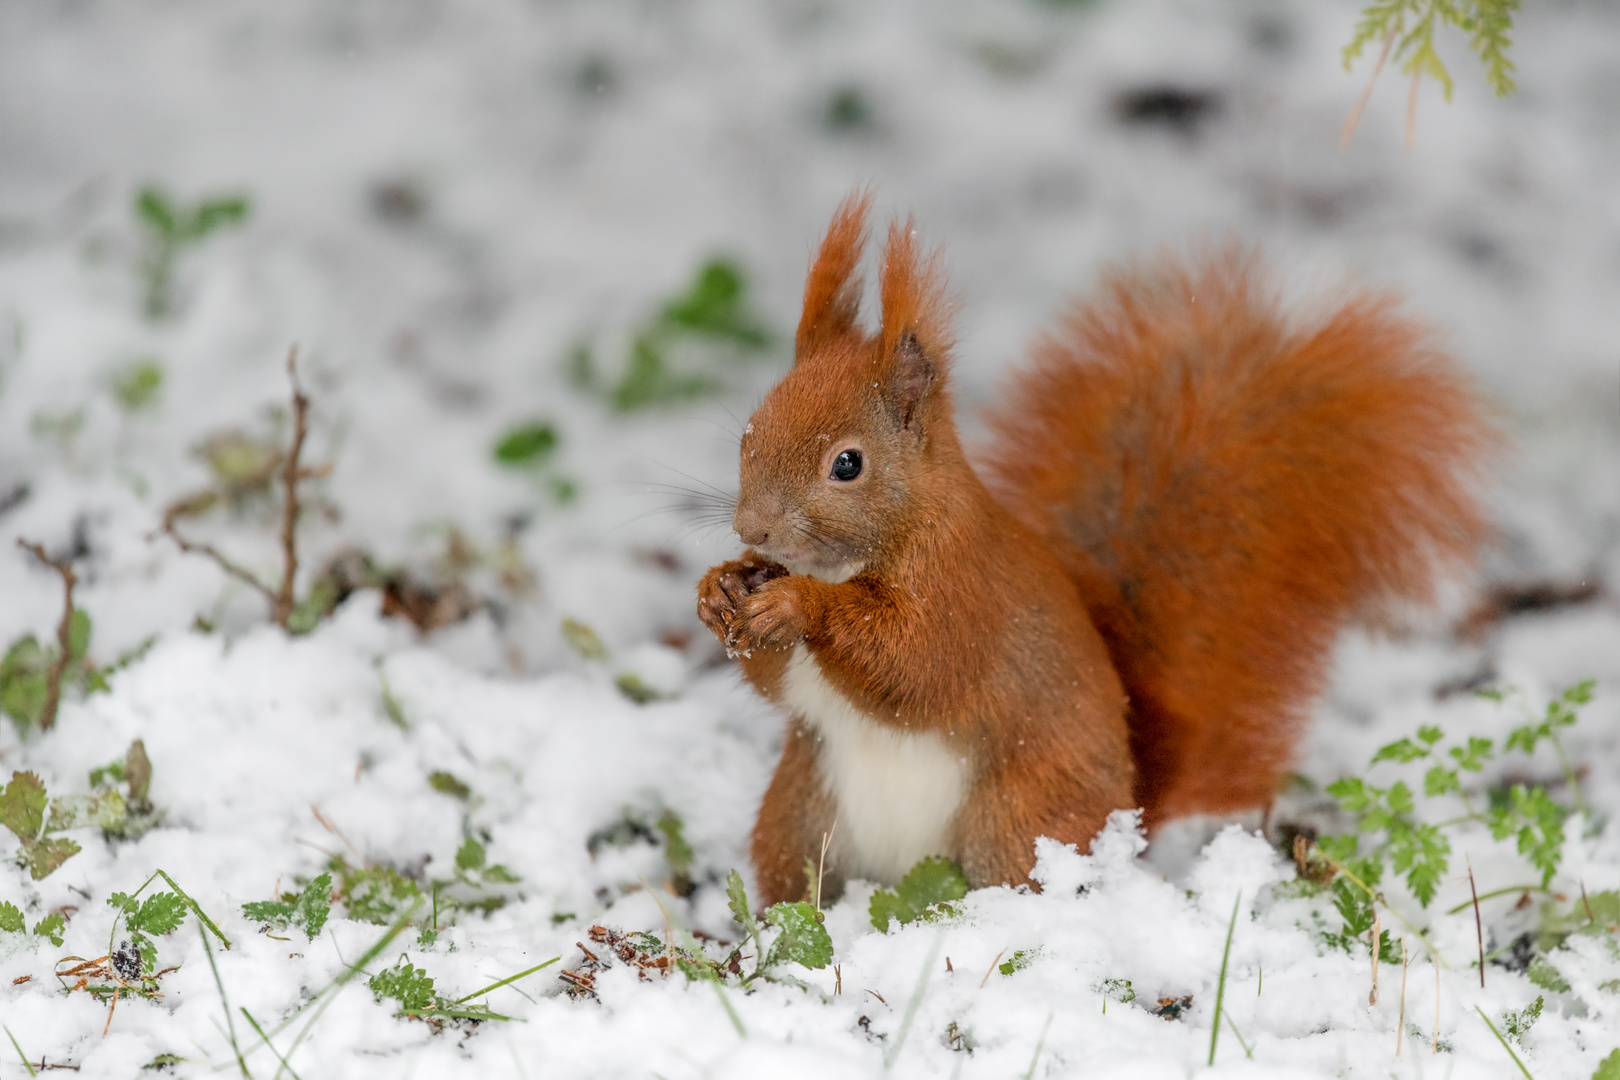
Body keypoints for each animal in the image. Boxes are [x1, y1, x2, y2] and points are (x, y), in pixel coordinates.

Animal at [696, 194, 1490, 906]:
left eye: (848, 464)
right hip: (800, 814)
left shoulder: (962, 594)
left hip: (1016, 816)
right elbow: (780, 684)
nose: (752, 528)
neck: (857, 557)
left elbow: (914, 664)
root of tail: (1128, 813)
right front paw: (720, 590)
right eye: (751, 428)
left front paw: (796, 606)